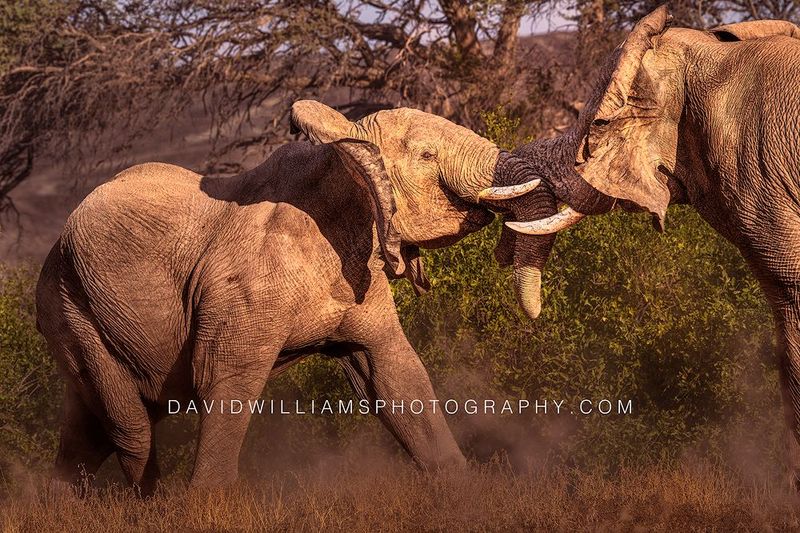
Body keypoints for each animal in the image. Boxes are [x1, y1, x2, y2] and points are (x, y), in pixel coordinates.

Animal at [34, 100, 554, 495]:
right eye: (427, 156)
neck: (341, 153)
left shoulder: (359, 275)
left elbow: (394, 375)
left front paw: (466, 497)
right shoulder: (246, 283)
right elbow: (224, 378)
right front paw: (207, 507)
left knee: (90, 429)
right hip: (72, 309)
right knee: (130, 427)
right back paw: (150, 503)